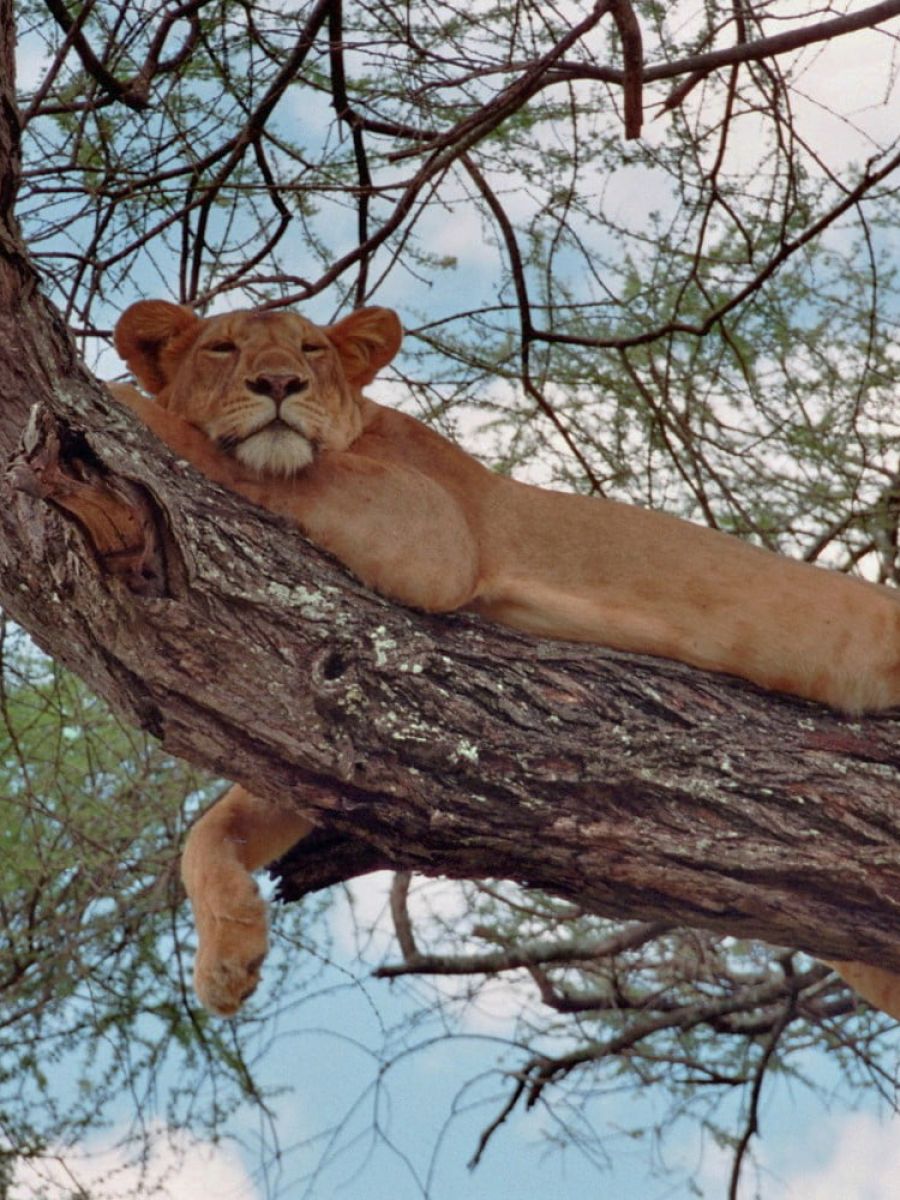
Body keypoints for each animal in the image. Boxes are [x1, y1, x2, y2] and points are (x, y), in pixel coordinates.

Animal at [111, 298, 900, 1021]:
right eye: (220, 348)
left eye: (311, 349)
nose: (280, 383)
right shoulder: (324, 735)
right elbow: (210, 830)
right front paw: (226, 958)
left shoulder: (432, 529)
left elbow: (240, 458)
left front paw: (121, 402)